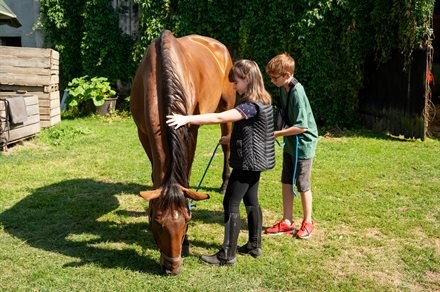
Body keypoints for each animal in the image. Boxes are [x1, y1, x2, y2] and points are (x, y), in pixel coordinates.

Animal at [129, 30, 235, 274]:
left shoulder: (190, 131)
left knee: (226, 144)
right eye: (157, 221)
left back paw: (225, 183)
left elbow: (185, 173)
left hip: (227, 106)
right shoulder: (143, 134)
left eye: (188, 219)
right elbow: (155, 172)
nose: (173, 267)